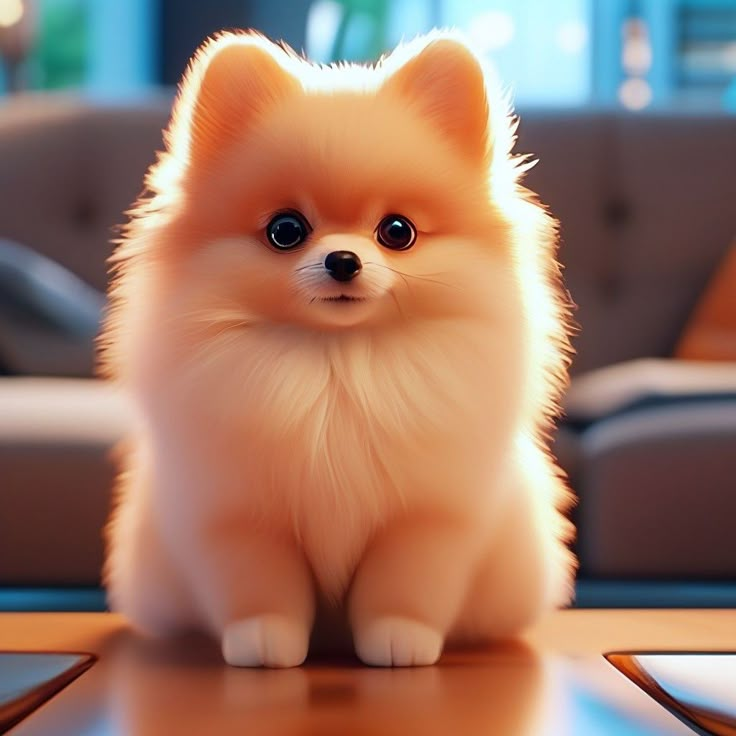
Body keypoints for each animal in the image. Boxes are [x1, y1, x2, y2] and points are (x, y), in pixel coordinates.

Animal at [100, 27, 576, 668]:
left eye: (397, 231)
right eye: (286, 230)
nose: (343, 259)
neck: (336, 366)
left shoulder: (426, 518)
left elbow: (404, 585)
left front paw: (401, 640)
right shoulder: (242, 516)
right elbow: (260, 585)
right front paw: (262, 641)